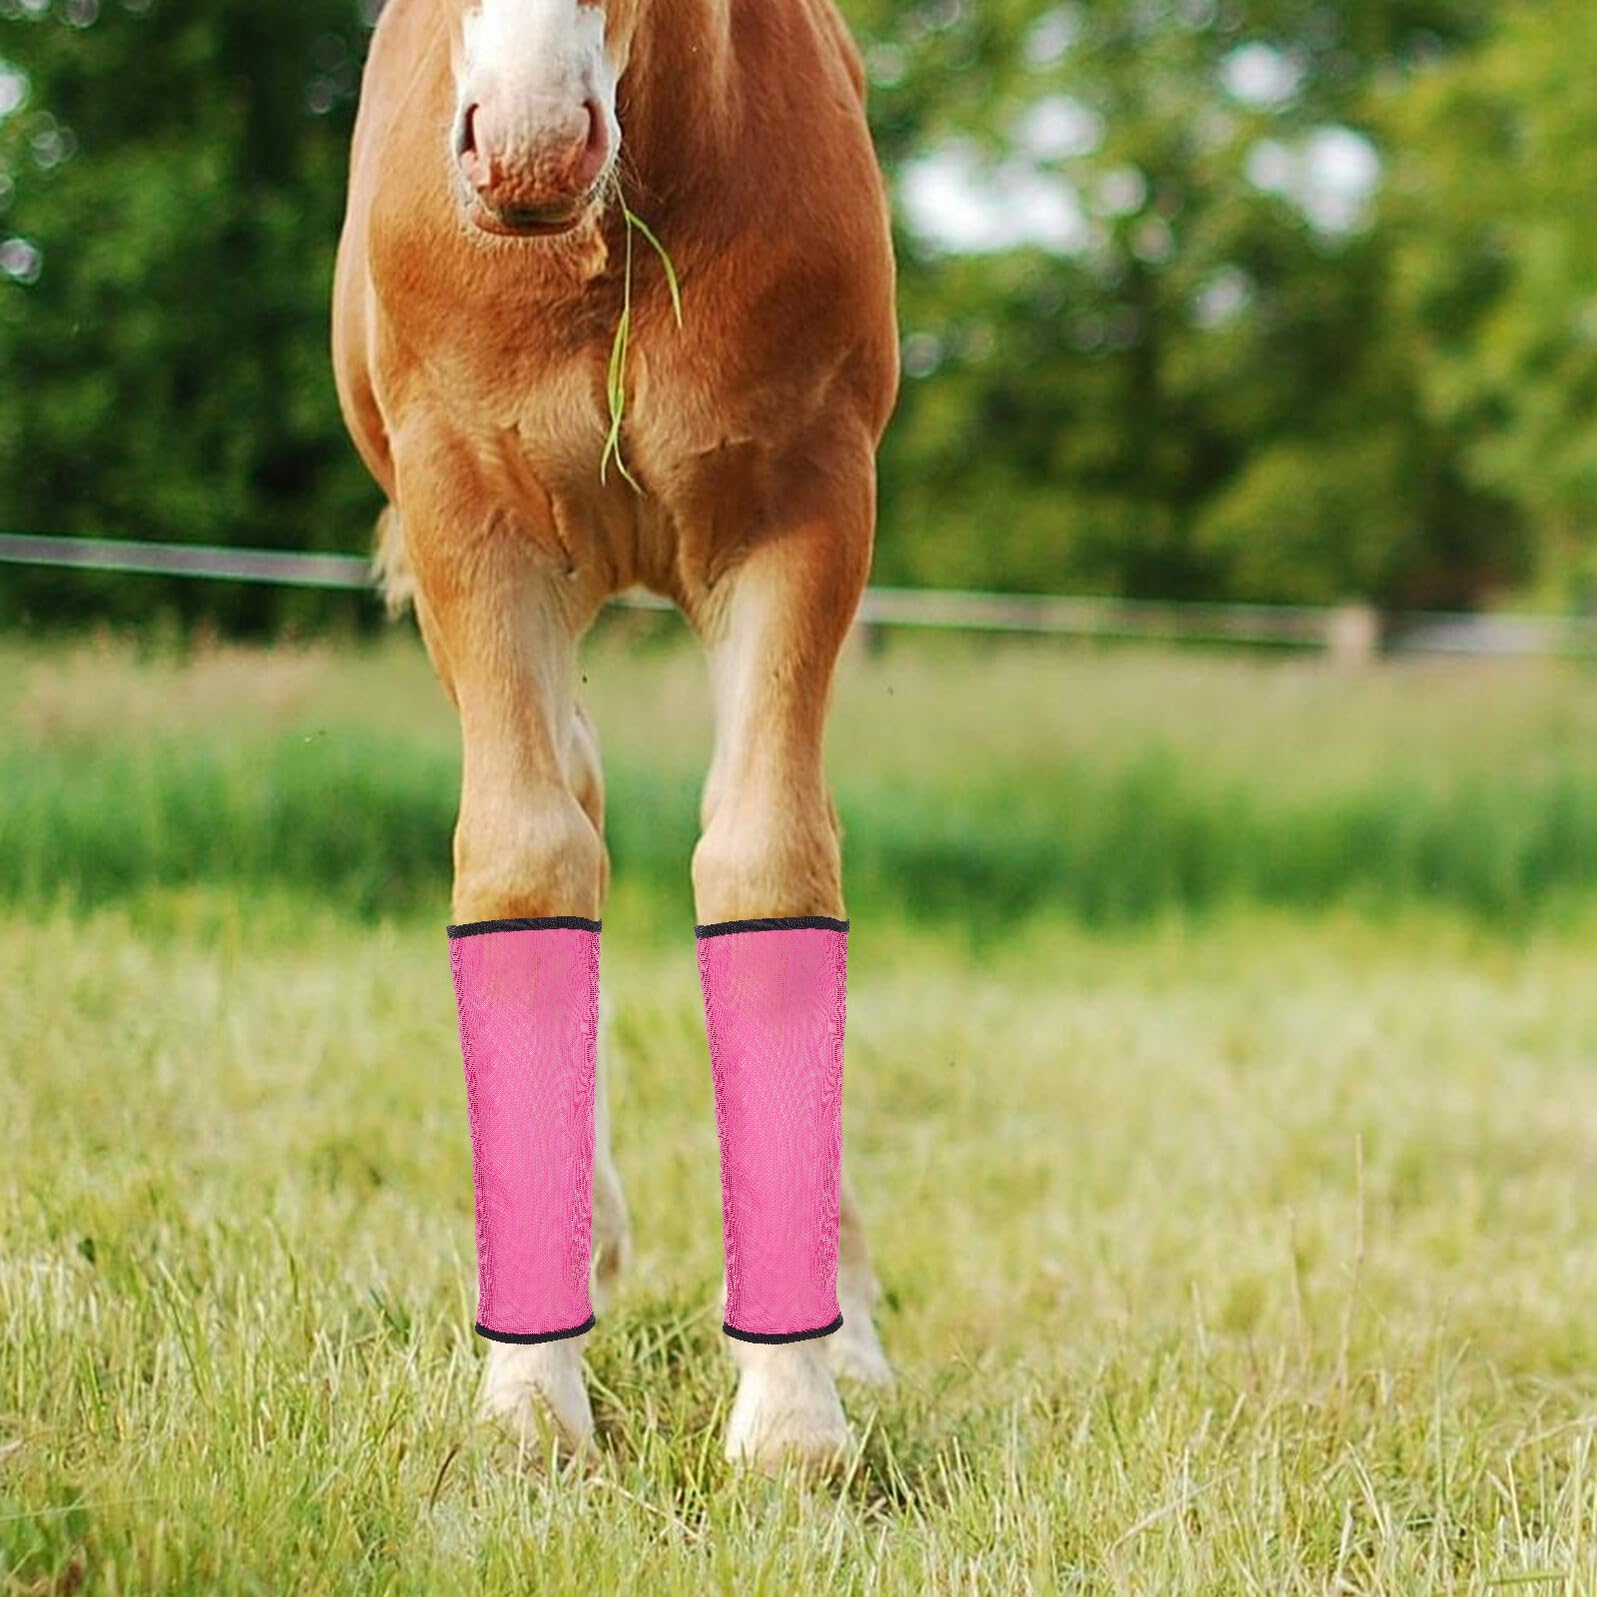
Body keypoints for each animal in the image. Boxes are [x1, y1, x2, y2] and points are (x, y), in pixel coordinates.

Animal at [332, 0, 899, 1471]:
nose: (531, 143)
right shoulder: (467, 519)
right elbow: (524, 864)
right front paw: (531, 1401)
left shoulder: (803, 511)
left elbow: (769, 866)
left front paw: (795, 1415)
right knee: (568, 805)